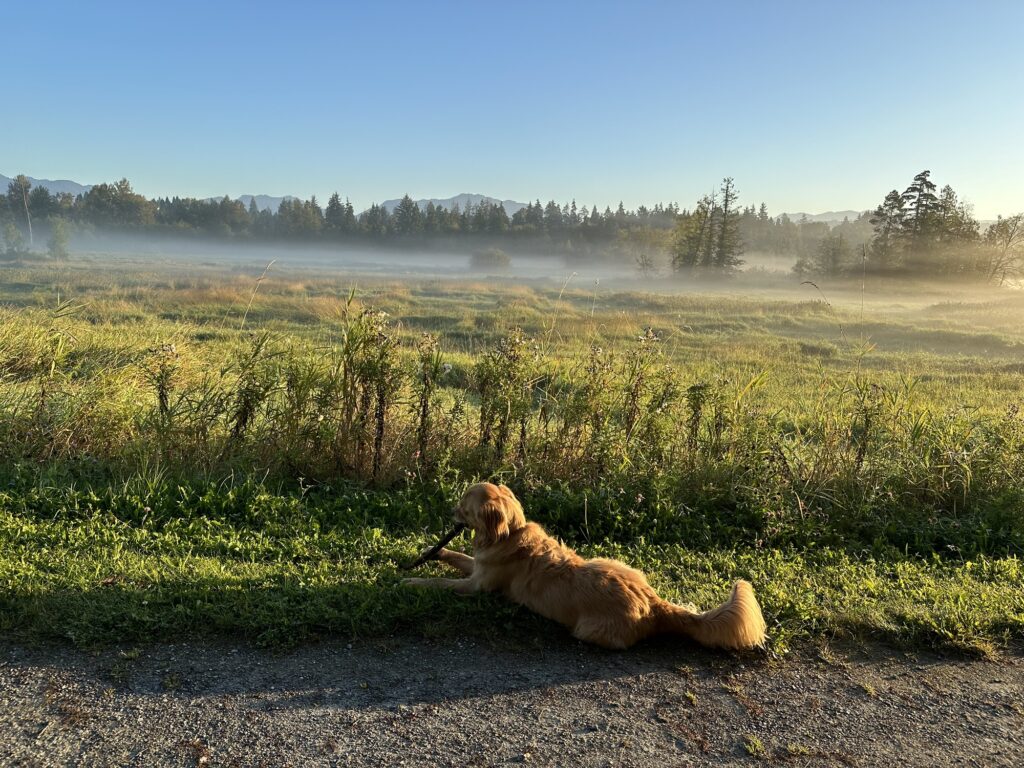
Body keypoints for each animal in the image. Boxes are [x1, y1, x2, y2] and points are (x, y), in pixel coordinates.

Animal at [403, 483, 765, 651]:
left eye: (464, 504)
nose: (450, 510)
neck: (509, 534)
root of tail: (653, 604)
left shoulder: (476, 587)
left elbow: (437, 584)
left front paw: (410, 582)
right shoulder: (477, 568)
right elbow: (455, 556)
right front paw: (433, 551)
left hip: (586, 628)